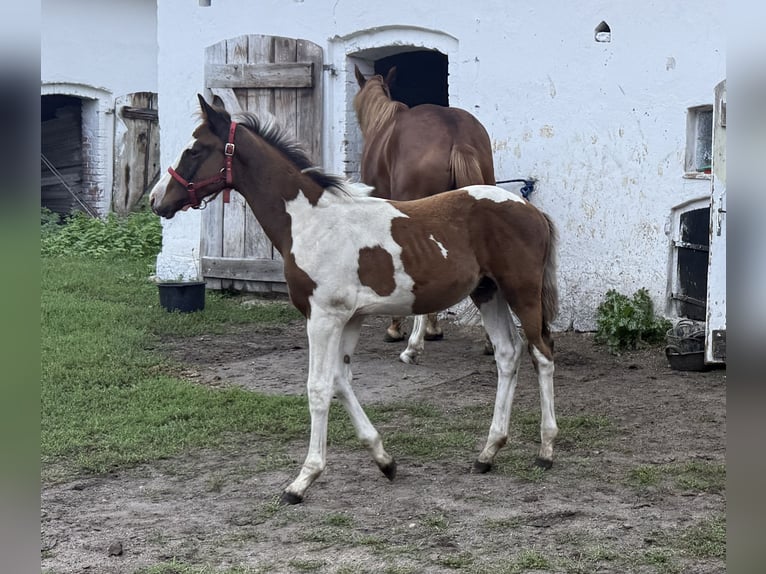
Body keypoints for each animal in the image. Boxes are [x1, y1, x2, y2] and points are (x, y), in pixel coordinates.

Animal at [150, 95, 560, 505]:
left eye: (196, 149)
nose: (156, 200)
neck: (310, 222)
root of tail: (532, 210)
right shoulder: (349, 318)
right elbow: (340, 380)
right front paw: (384, 459)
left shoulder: (322, 317)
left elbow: (318, 388)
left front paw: (302, 480)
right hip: (488, 292)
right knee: (507, 354)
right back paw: (488, 453)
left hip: (521, 291)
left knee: (541, 354)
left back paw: (545, 450)